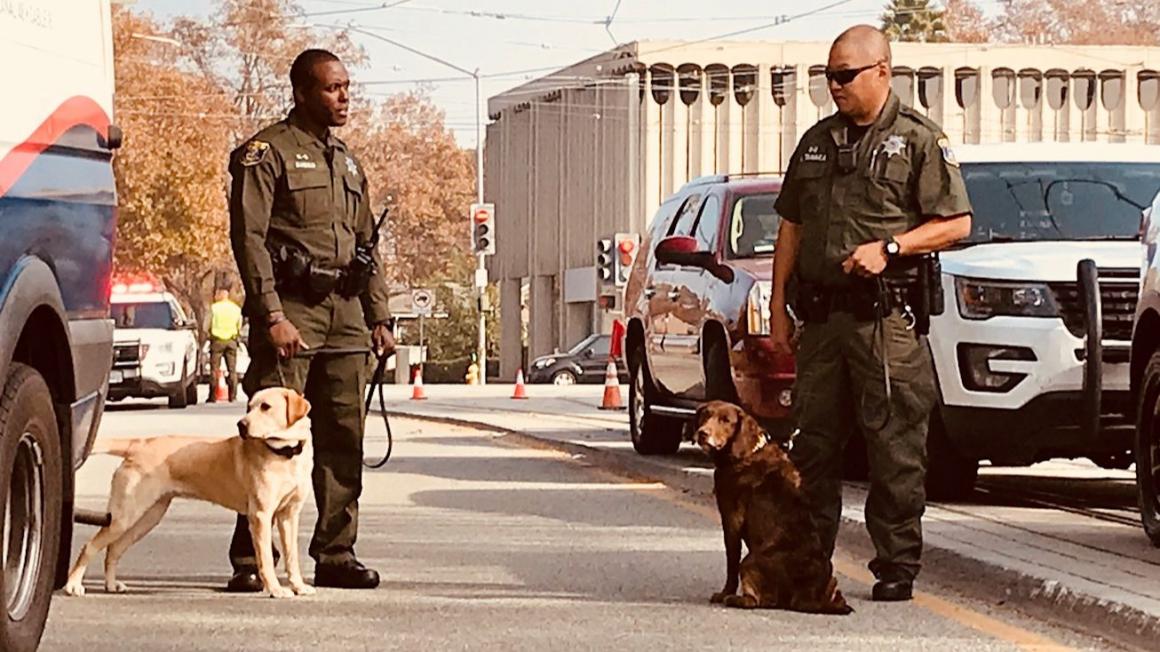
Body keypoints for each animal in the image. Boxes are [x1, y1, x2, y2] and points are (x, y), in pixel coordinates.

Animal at [62, 387, 317, 598]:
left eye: (266, 406)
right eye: (250, 407)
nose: (241, 425)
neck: (285, 453)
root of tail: (139, 443)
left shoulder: (289, 515)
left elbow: (292, 557)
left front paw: (299, 586)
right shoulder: (261, 515)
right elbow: (265, 559)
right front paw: (275, 589)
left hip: (147, 517)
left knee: (113, 549)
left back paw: (111, 585)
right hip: (123, 516)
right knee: (90, 546)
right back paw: (73, 585)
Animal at [686, 399, 853, 612]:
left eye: (725, 420)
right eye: (705, 415)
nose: (702, 433)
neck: (746, 453)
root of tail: (807, 594)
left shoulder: (731, 520)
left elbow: (731, 563)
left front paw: (724, 593)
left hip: (749, 560)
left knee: (759, 601)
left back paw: (734, 598)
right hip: (833, 582)